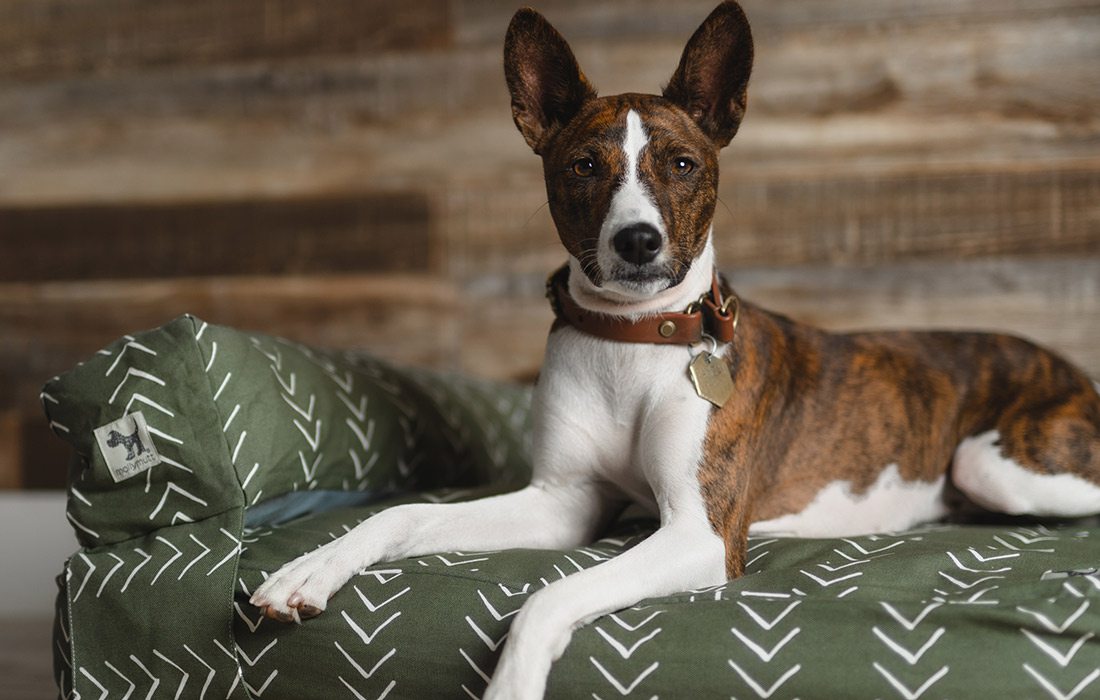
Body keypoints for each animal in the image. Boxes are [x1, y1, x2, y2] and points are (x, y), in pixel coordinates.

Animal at [253, 2, 1100, 695]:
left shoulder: (700, 533)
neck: (634, 338)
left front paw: (512, 683)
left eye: (683, 164)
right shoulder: (561, 503)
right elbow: (401, 516)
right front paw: (308, 570)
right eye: (583, 167)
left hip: (995, 462)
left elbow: (547, 593)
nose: (637, 241)